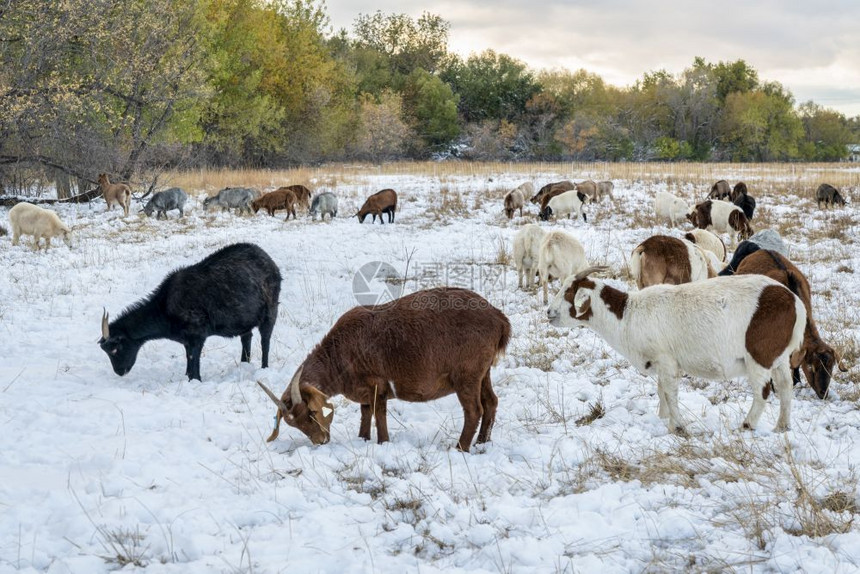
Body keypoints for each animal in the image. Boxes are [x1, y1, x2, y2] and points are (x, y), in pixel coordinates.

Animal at [99, 243, 282, 382]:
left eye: (115, 349)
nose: (120, 372)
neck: (164, 310)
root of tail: (271, 263)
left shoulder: (197, 335)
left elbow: (194, 361)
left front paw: (195, 380)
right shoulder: (187, 340)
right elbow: (188, 359)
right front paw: (188, 376)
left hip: (270, 311)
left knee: (265, 341)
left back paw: (264, 368)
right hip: (245, 320)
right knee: (246, 338)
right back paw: (244, 364)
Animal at [255, 290, 510, 452]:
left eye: (310, 413)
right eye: (294, 424)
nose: (320, 440)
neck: (339, 356)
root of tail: (499, 319)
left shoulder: (377, 384)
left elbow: (379, 414)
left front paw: (383, 442)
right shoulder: (364, 391)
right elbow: (366, 412)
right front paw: (363, 438)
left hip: (467, 374)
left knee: (474, 410)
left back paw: (460, 447)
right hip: (484, 372)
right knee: (491, 402)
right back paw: (482, 442)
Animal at [552, 268, 808, 434]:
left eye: (568, 293)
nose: (548, 312)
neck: (627, 313)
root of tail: (795, 303)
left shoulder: (666, 360)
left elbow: (670, 392)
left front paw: (678, 426)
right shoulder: (660, 363)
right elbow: (661, 391)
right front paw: (664, 418)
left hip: (759, 355)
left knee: (763, 391)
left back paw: (747, 425)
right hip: (779, 356)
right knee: (785, 386)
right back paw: (782, 426)